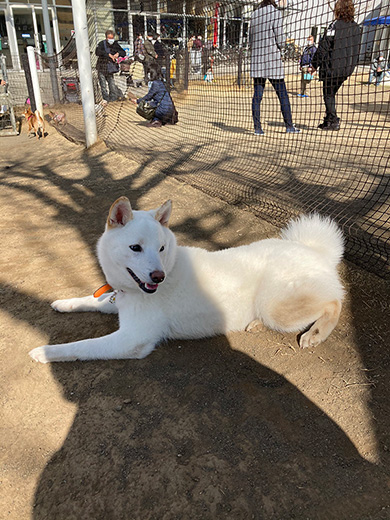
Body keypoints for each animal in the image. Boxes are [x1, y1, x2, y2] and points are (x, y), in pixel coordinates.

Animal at [28, 197, 344, 364]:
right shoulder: (119, 300)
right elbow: (93, 300)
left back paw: (316, 334)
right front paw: (63, 303)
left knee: (333, 303)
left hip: (276, 307)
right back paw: (254, 324)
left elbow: (81, 346)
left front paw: (44, 351)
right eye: (135, 248)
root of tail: (314, 249)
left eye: (161, 248)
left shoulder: (132, 339)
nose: (158, 276)